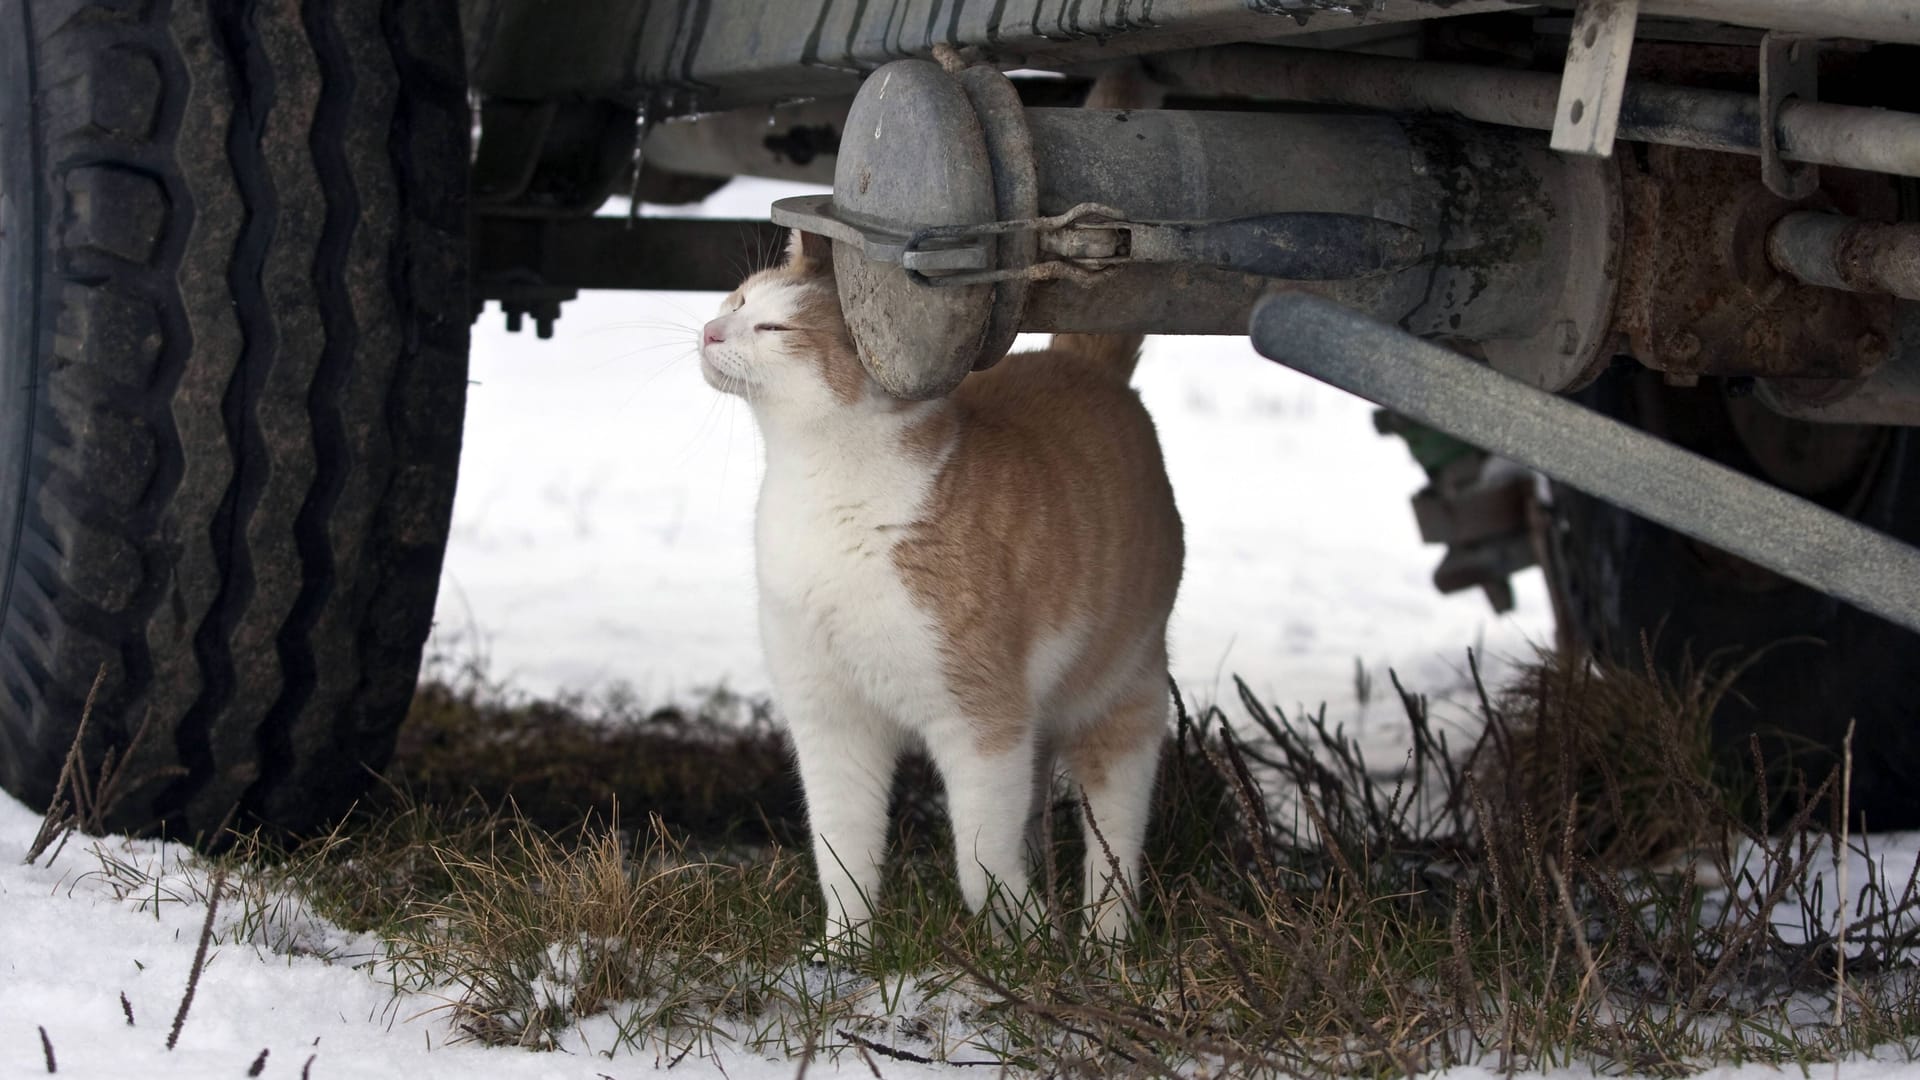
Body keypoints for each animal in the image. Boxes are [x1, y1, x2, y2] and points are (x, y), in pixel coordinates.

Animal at [702, 69, 1182, 941]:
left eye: (774, 326)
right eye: (734, 298)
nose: (710, 333)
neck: (821, 494)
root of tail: (1085, 368)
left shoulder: (982, 720)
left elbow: (979, 859)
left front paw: (1022, 937)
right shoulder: (831, 720)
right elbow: (842, 851)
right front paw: (842, 952)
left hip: (1122, 695)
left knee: (1114, 833)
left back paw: (1103, 942)